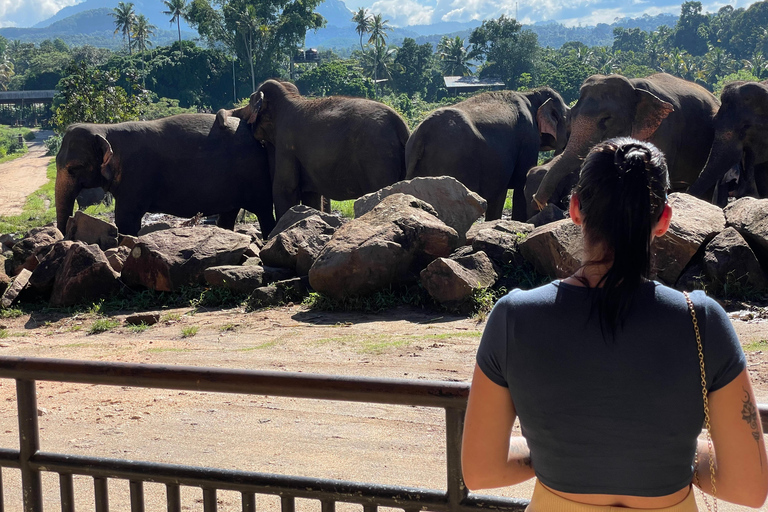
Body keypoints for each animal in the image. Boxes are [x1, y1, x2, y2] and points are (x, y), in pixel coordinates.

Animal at [55, 113, 276, 237]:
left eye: (75, 168)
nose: (66, 236)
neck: (106, 129)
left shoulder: (137, 174)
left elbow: (126, 219)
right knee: (229, 214)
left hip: (255, 174)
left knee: (264, 211)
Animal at [213, 79, 412, 219]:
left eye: (249, 102)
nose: (223, 124)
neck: (289, 97)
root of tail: (401, 125)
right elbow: (311, 195)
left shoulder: (286, 142)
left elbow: (284, 189)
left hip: (377, 159)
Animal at [404, 88, 568, 220]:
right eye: (568, 120)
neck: (530, 94)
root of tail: (423, 132)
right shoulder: (528, 138)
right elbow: (521, 182)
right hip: (454, 161)